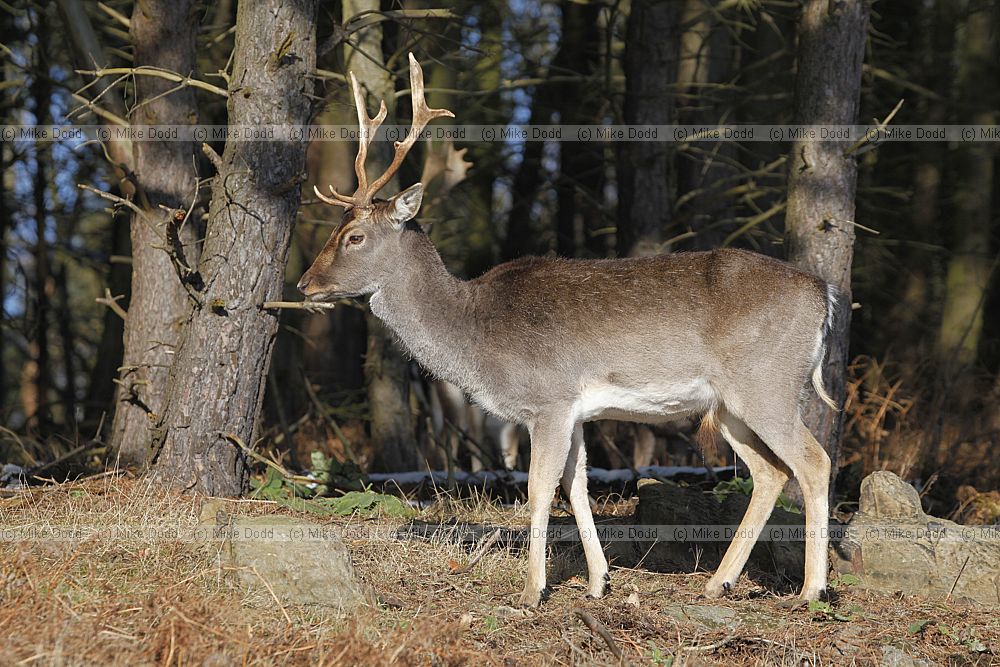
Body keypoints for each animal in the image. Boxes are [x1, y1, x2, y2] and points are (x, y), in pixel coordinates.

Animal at [298, 54, 839, 608]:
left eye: (354, 236)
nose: (304, 284)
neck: (475, 334)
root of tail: (823, 294)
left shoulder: (548, 399)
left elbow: (539, 491)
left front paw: (531, 590)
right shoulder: (576, 411)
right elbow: (575, 487)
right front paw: (599, 581)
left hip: (766, 383)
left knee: (813, 462)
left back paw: (811, 590)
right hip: (729, 404)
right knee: (770, 472)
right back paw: (718, 581)